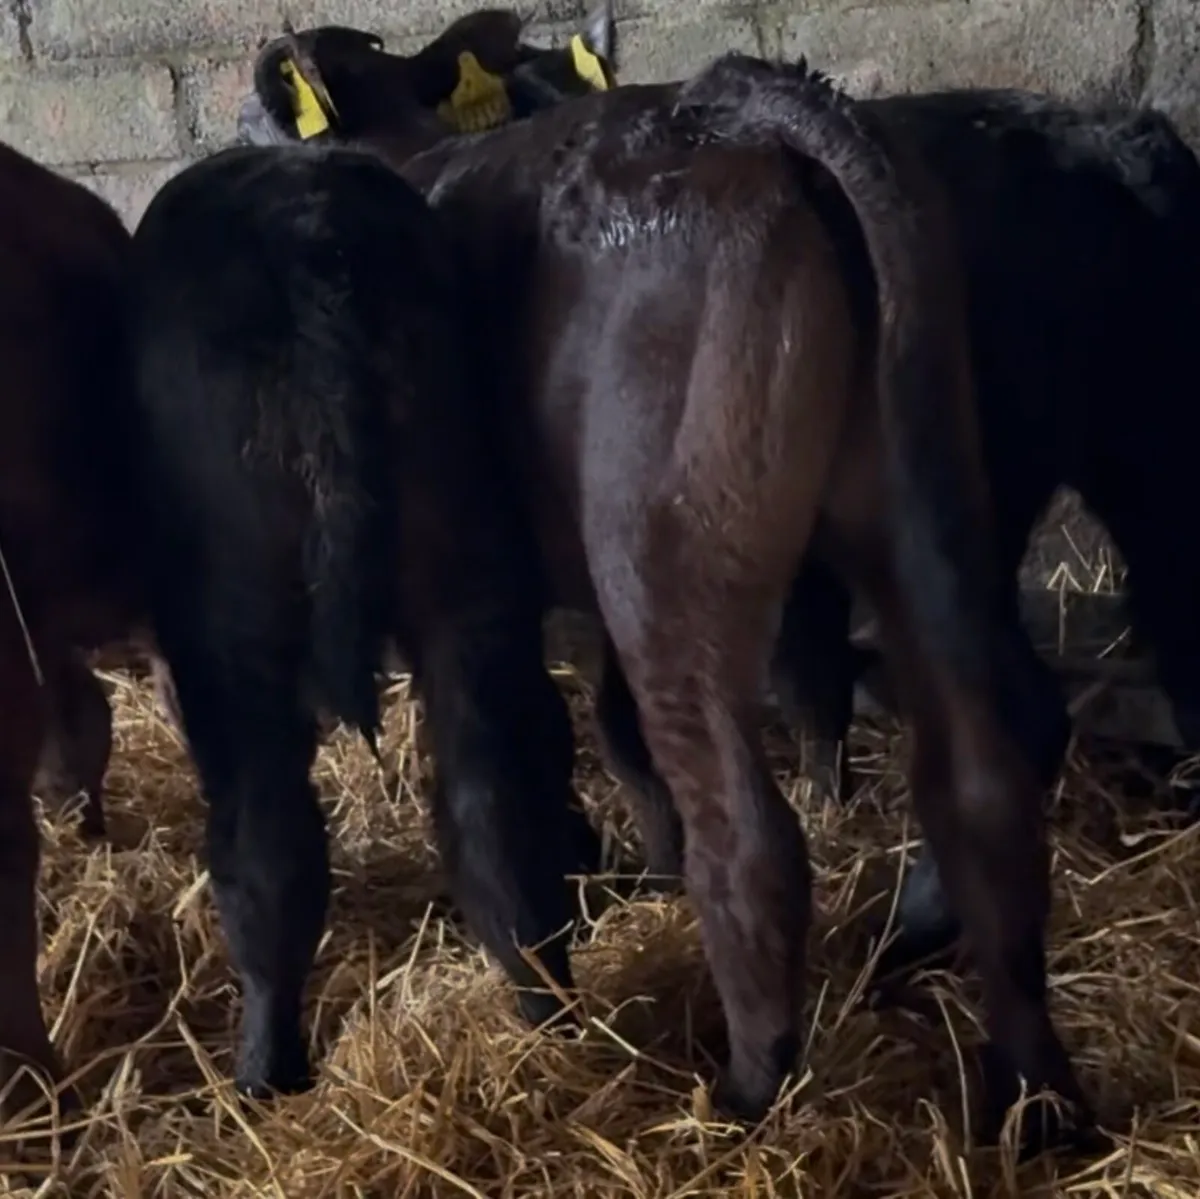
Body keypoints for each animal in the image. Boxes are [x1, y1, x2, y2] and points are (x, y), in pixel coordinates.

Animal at [234, 32, 1089, 1154]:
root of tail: (739, 115)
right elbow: (617, 733)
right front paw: (649, 867)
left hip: (662, 549)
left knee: (750, 827)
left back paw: (750, 1086)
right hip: (922, 499)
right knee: (980, 782)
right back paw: (1040, 1095)